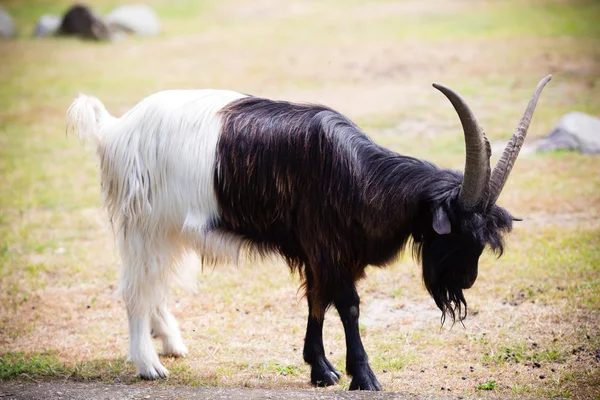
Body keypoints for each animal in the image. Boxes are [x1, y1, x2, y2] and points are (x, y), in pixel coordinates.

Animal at [67, 75, 552, 390]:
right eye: (456, 234)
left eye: (482, 241)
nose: (465, 281)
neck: (355, 173)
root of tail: (115, 129)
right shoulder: (329, 247)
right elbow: (348, 306)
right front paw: (363, 376)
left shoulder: (323, 252)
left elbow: (317, 302)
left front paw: (322, 369)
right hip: (143, 225)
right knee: (136, 289)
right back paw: (148, 365)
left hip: (167, 232)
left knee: (157, 287)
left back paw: (171, 344)